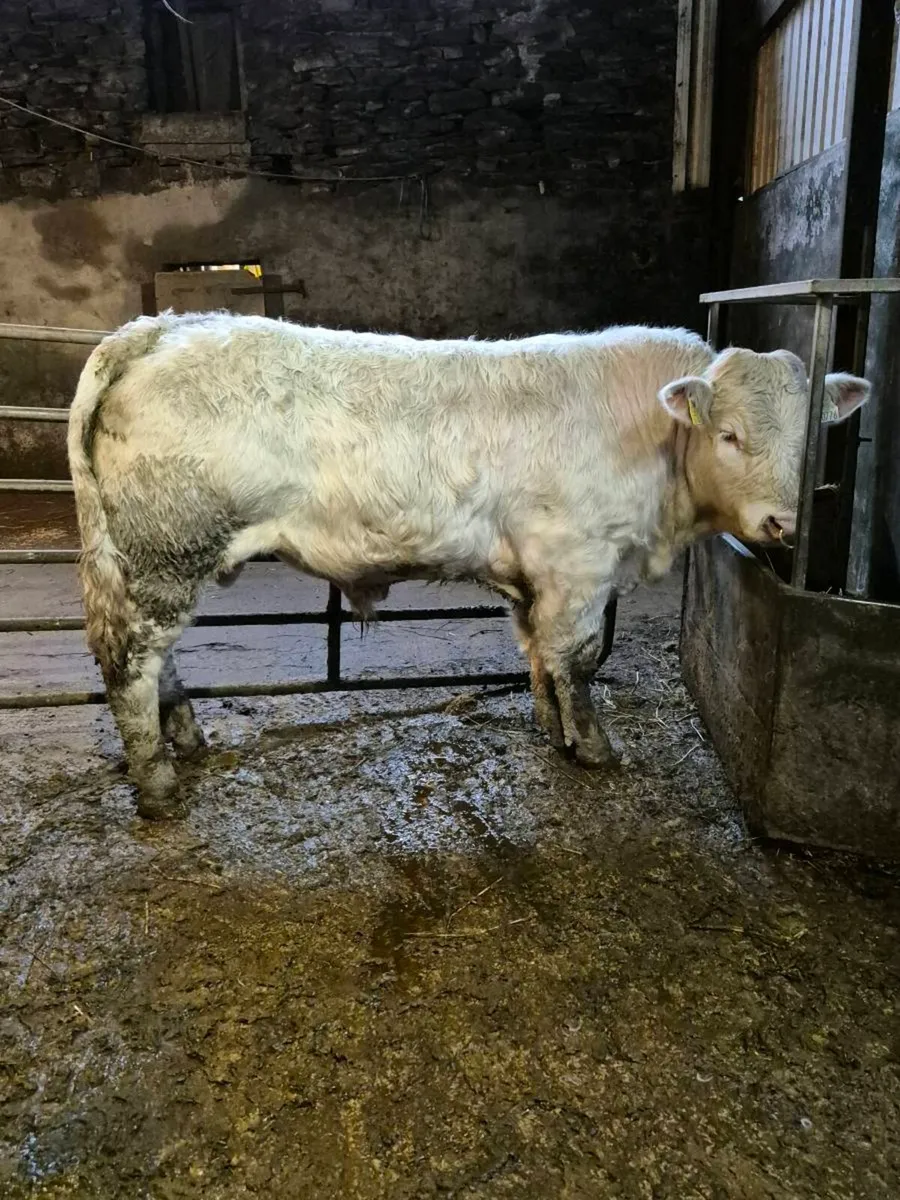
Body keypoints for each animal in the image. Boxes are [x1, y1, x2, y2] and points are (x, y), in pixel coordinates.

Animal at [67, 313, 869, 817]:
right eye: (729, 435)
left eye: (813, 442)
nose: (783, 523)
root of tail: (166, 325)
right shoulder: (579, 562)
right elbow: (578, 658)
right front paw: (595, 747)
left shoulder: (536, 575)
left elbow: (540, 654)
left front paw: (553, 730)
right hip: (168, 549)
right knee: (131, 663)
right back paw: (159, 785)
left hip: (151, 558)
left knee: (154, 659)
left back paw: (185, 738)